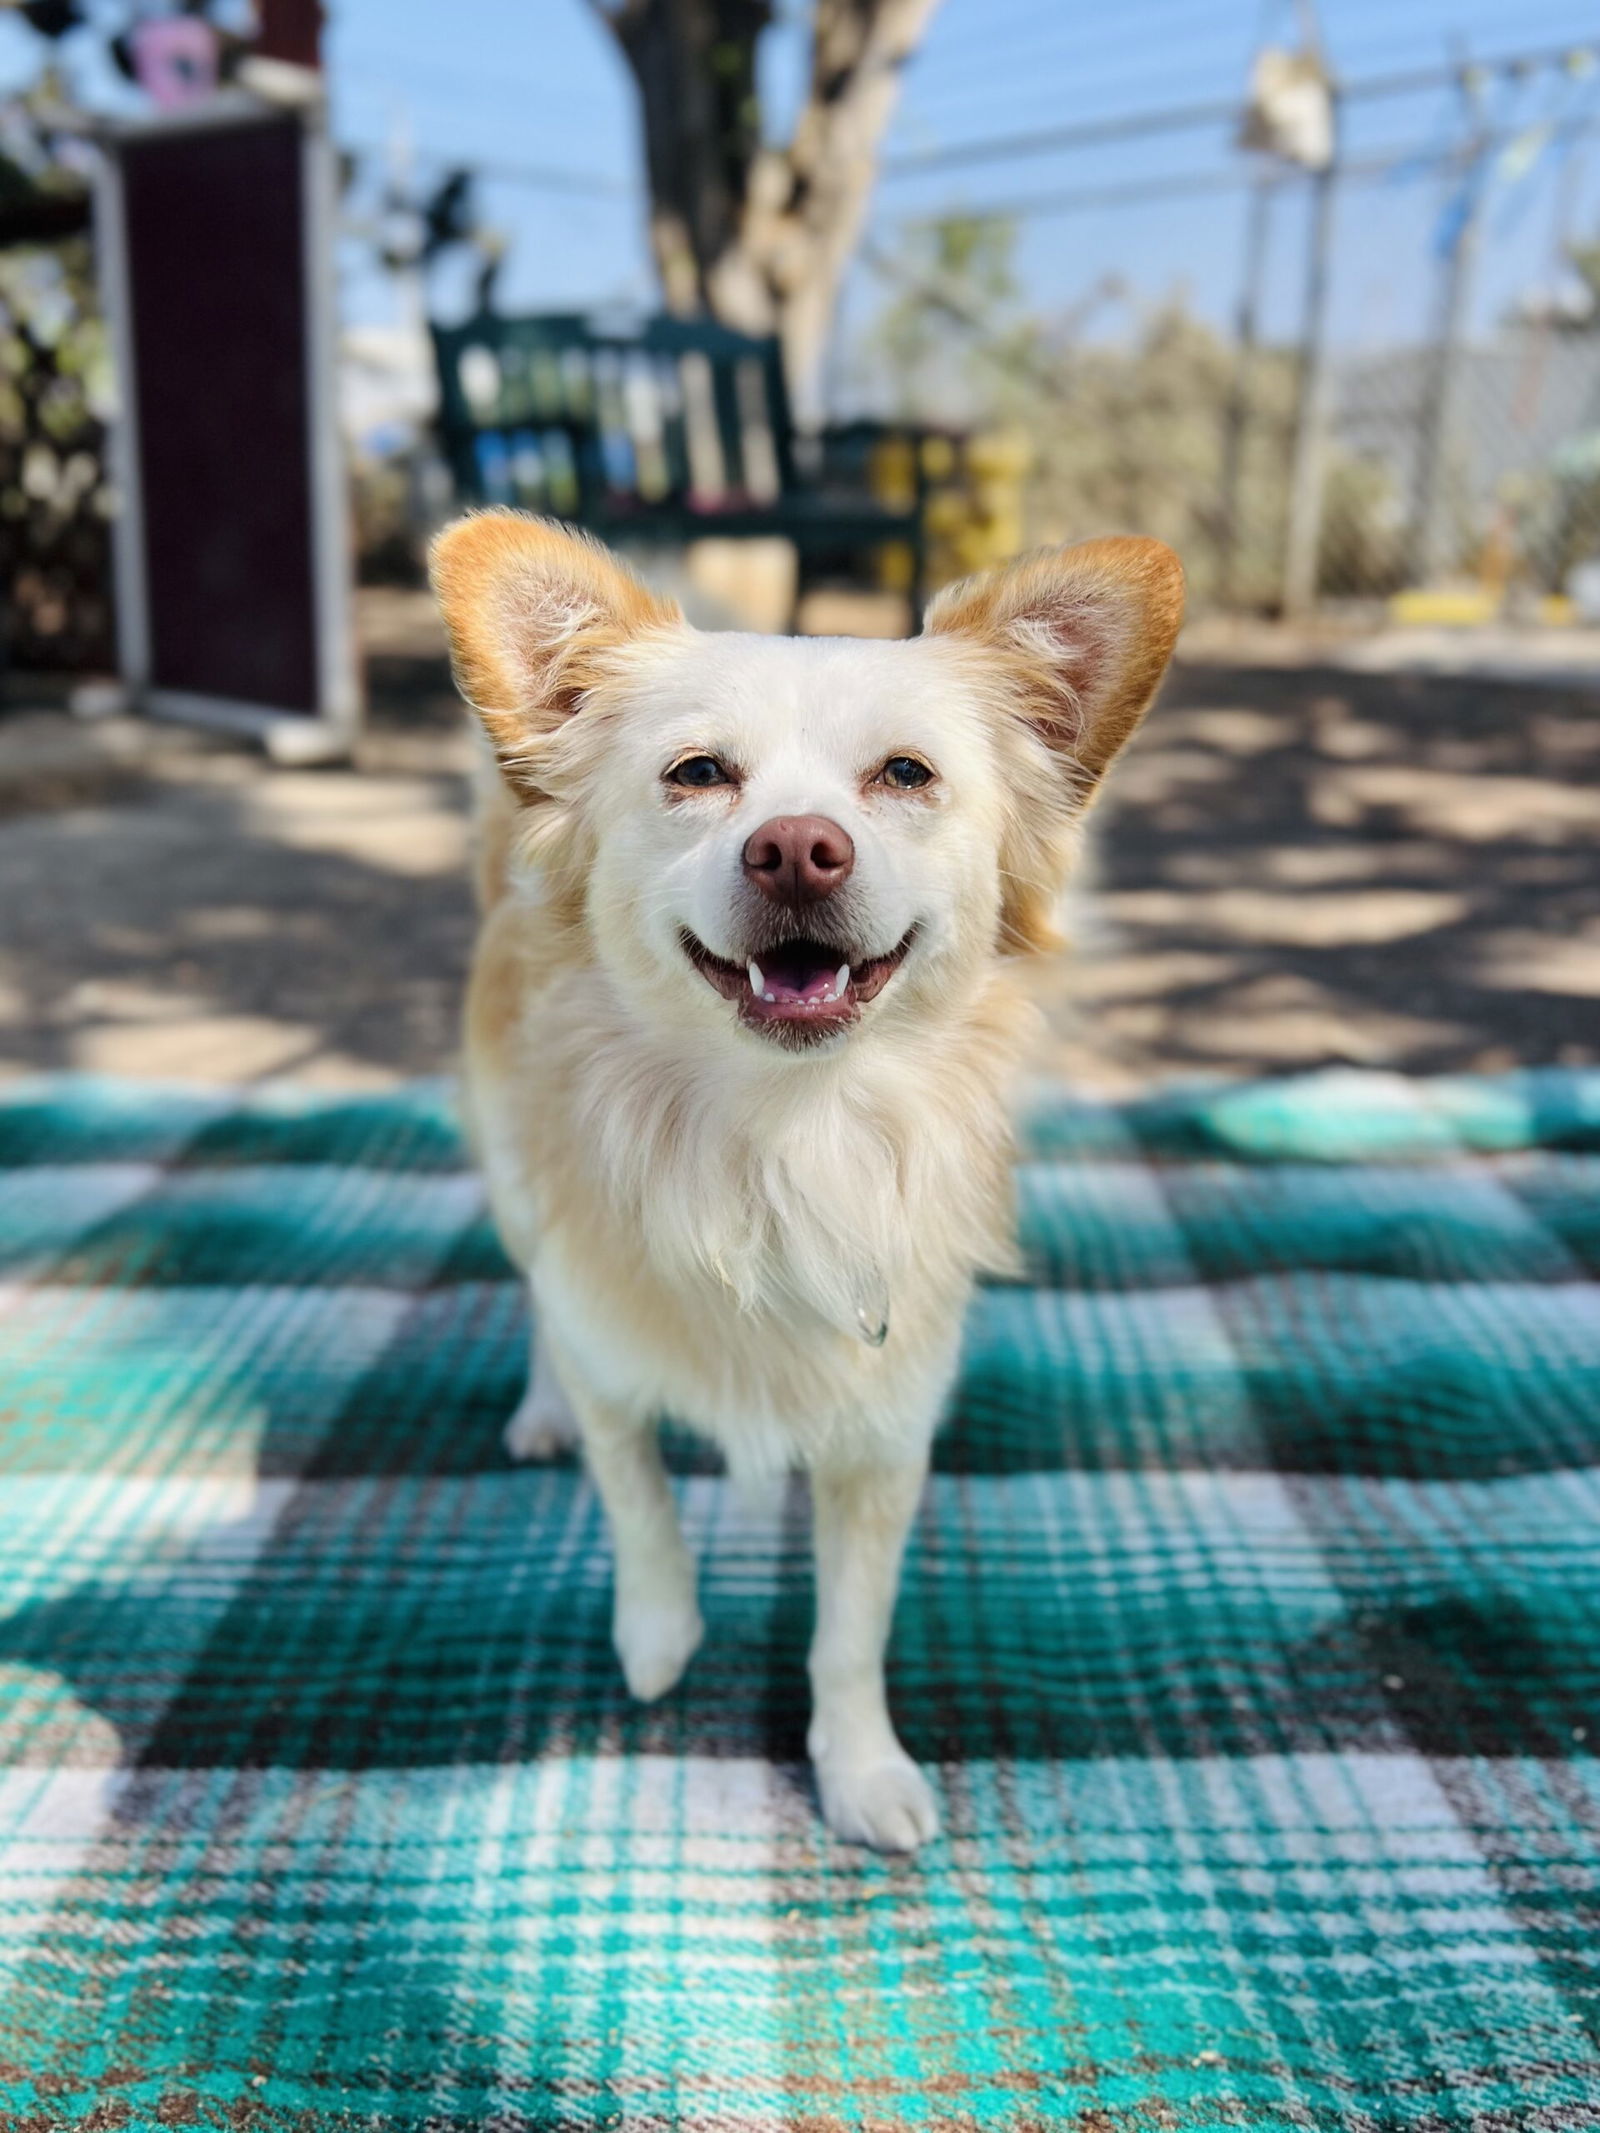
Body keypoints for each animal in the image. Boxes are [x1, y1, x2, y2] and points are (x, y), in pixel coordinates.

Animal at [433, 520, 1186, 1851]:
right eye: (695, 774)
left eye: (905, 775)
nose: (794, 846)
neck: (783, 1142)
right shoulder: (614, 1371)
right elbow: (636, 1500)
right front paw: (657, 1637)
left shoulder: (883, 1448)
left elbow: (850, 1631)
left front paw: (859, 1768)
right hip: (519, 1187)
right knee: (536, 1307)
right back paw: (539, 1406)